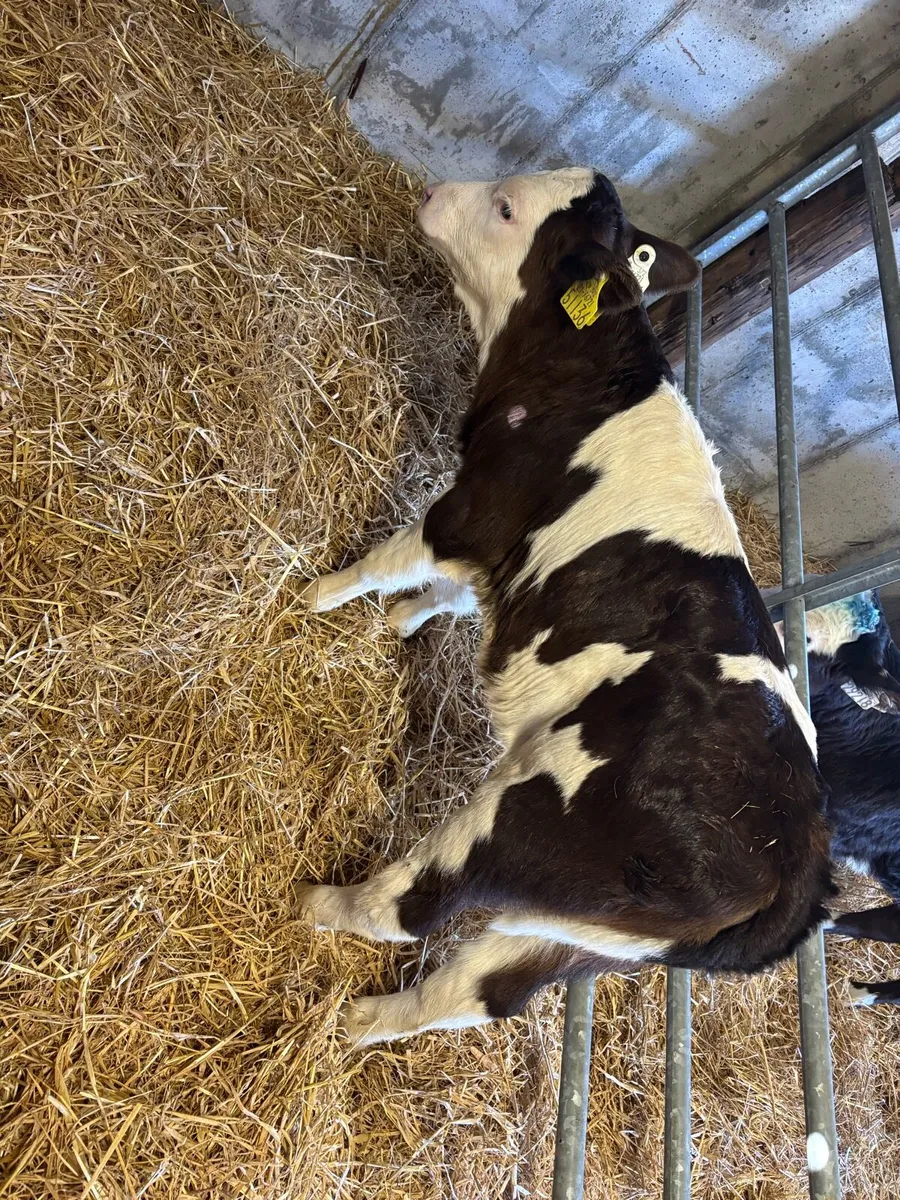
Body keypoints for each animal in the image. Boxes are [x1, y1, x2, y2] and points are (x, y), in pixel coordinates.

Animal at [298, 168, 834, 1048]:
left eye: (508, 207)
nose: (433, 192)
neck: (595, 377)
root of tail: (799, 866)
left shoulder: (473, 508)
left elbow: (387, 563)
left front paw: (316, 597)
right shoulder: (512, 549)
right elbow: (454, 595)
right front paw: (396, 624)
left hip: (527, 812)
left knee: (410, 908)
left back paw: (315, 901)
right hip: (587, 935)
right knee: (478, 992)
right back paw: (356, 1022)